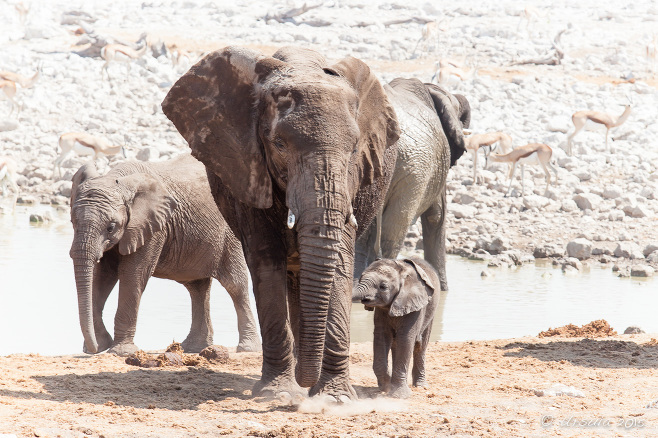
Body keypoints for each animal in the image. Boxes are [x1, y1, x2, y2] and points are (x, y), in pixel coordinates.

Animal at [68, 153, 258, 356]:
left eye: (111, 227)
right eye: (72, 221)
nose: (93, 348)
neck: (118, 179)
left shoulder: (154, 228)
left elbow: (132, 276)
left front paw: (121, 351)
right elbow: (102, 277)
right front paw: (101, 345)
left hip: (231, 232)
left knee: (235, 285)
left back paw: (246, 348)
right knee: (197, 288)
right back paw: (193, 347)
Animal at [163, 47, 400, 400]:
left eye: (354, 148)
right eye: (279, 144)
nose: (307, 385)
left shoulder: (352, 183)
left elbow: (340, 264)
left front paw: (334, 398)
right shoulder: (247, 170)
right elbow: (266, 262)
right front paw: (278, 394)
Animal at [352, 256, 438, 396]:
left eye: (383, 286)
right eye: (360, 279)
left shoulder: (414, 304)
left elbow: (406, 339)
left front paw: (399, 395)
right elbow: (382, 337)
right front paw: (385, 387)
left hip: (430, 313)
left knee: (420, 346)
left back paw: (420, 386)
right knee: (396, 344)